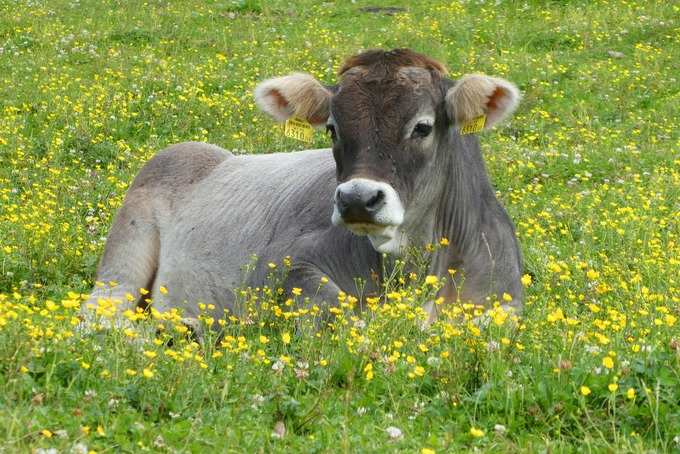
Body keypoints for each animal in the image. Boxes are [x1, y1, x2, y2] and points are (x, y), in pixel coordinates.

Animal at [82, 48, 524, 334]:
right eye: (332, 128)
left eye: (423, 126)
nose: (357, 199)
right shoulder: (287, 267)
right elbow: (342, 315)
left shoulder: (506, 300)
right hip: (122, 263)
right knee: (102, 314)